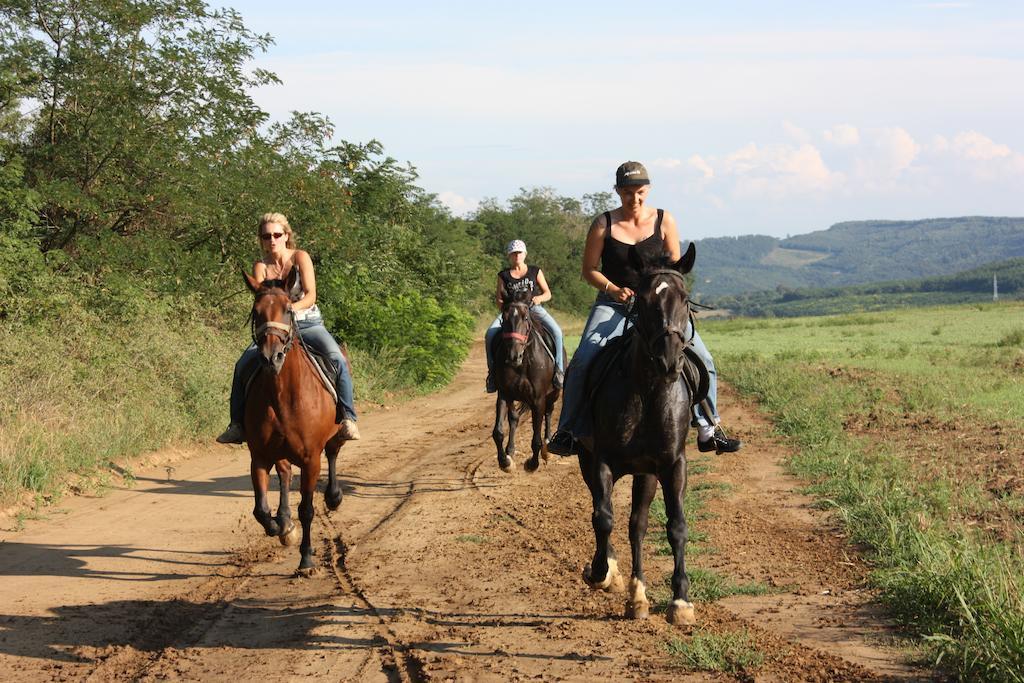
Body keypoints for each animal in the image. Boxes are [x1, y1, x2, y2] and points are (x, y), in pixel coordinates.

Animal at [243, 270, 348, 573]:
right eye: (256, 312)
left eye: (288, 310)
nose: (271, 357)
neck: (282, 394)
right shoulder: (259, 456)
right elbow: (260, 510)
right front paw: (281, 528)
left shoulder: (311, 458)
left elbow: (308, 509)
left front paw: (306, 558)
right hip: (279, 451)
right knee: (286, 473)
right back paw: (284, 520)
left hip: (334, 436)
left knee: (333, 453)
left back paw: (333, 497)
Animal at [489, 290, 565, 475]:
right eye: (504, 317)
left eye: (525, 318)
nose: (513, 356)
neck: (522, 363)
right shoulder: (504, 394)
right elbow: (498, 432)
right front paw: (505, 462)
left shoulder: (538, 399)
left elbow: (536, 438)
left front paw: (532, 463)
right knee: (514, 419)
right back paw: (510, 451)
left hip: (553, 394)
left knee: (549, 413)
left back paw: (547, 449)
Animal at [581, 242, 700, 626]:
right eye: (644, 299)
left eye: (685, 298)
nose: (669, 361)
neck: (647, 391)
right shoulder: (600, 461)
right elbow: (603, 517)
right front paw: (601, 573)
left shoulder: (672, 465)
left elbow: (676, 526)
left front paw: (681, 601)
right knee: (604, 513)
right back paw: (616, 577)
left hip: (645, 473)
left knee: (638, 524)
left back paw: (638, 596)